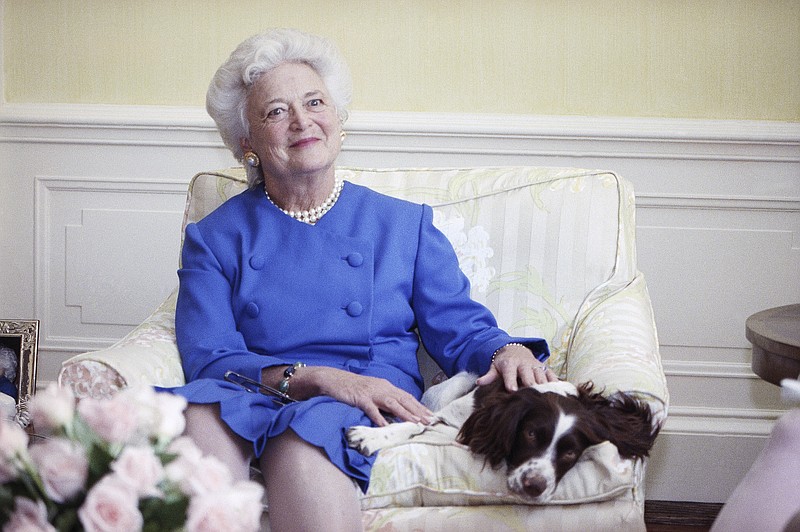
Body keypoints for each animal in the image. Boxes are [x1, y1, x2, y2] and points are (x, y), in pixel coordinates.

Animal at [346, 372, 660, 500]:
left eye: (571, 452)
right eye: (531, 433)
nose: (534, 486)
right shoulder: (450, 417)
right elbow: (416, 423)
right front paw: (369, 437)